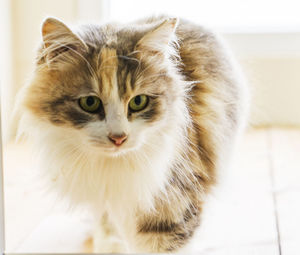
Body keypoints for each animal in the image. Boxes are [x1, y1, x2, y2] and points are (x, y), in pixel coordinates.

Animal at [17, 15, 250, 253]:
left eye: (138, 101)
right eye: (90, 102)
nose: (118, 138)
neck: (111, 169)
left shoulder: (173, 202)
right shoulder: (104, 199)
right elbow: (108, 230)